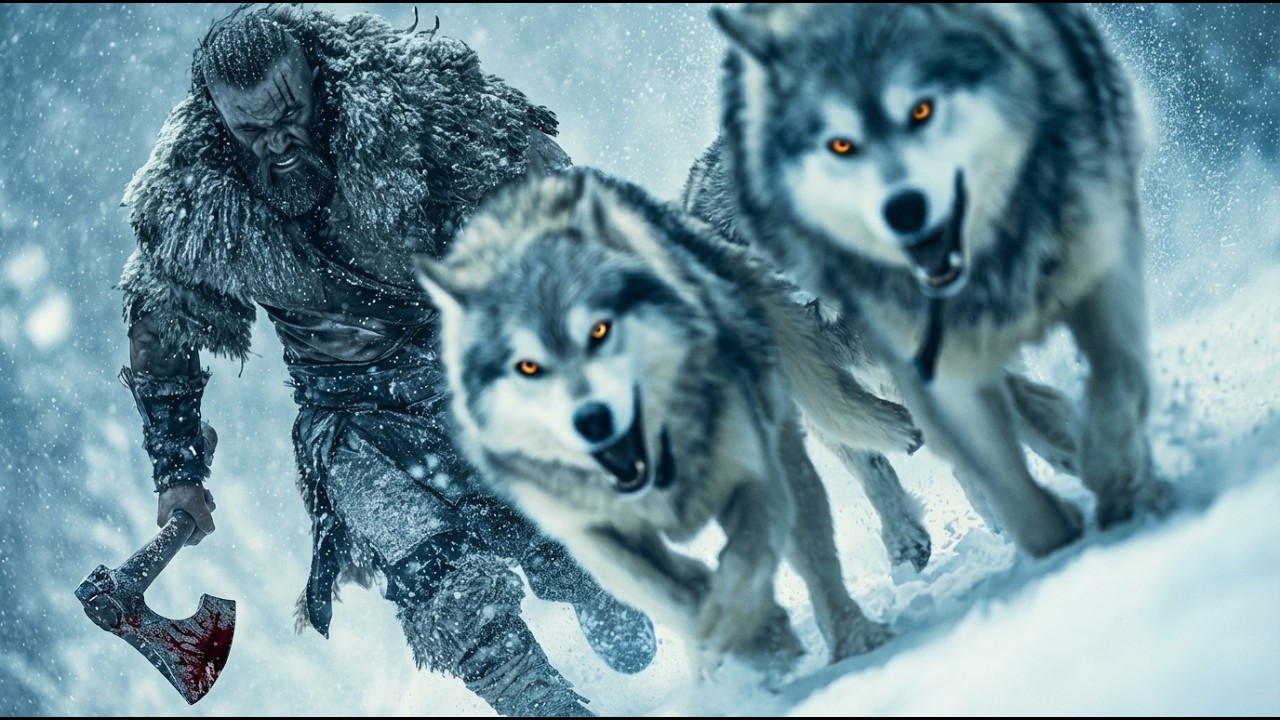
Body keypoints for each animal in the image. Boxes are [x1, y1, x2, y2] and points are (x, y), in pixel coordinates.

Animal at [414, 166, 926, 677]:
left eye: (601, 330)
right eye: (527, 366)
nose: (593, 419)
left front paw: (850, 641)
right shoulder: (602, 538)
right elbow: (678, 593)